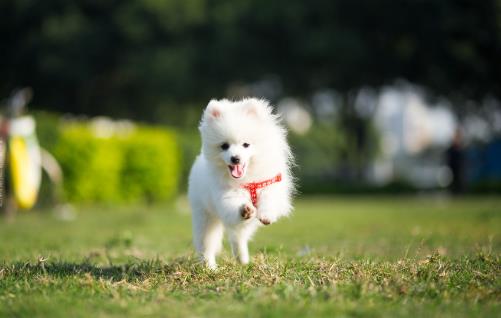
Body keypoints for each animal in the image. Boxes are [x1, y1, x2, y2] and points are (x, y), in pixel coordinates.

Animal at [189, 97, 294, 268]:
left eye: (246, 144)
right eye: (224, 146)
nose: (235, 158)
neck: (248, 180)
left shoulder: (269, 185)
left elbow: (269, 201)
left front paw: (266, 215)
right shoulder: (226, 195)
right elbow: (234, 206)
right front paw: (245, 209)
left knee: (238, 238)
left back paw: (242, 259)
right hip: (205, 216)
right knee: (206, 244)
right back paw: (210, 267)